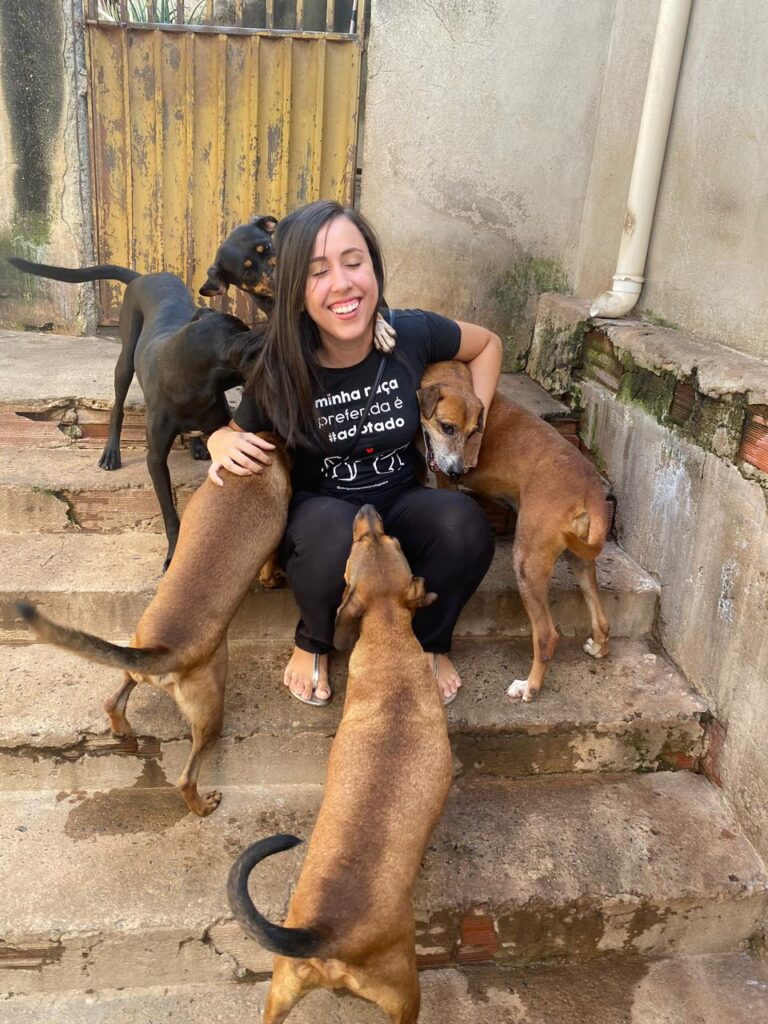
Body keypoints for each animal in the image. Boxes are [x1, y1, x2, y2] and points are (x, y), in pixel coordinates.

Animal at [8, 256, 267, 567]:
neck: (189, 377)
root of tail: (143, 277)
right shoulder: (155, 459)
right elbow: (169, 512)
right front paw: (173, 553)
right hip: (125, 360)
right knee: (117, 408)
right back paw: (111, 453)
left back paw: (196, 445)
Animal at [16, 439, 290, 816]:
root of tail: (162, 651)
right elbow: (269, 565)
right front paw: (274, 579)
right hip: (210, 712)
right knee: (187, 778)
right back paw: (202, 806)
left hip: (133, 659)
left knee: (113, 702)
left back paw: (122, 729)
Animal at [227, 505, 452, 1023]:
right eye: (371, 540)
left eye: (385, 539)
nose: (367, 509)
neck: (389, 640)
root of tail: (324, 933)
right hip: (406, 993)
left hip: (280, 990)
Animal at [418, 361, 610, 702]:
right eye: (448, 428)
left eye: (473, 433)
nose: (458, 470)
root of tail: (590, 488)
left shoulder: (443, 478)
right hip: (579, 557)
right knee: (601, 618)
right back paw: (598, 647)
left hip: (527, 562)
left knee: (546, 635)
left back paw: (529, 686)